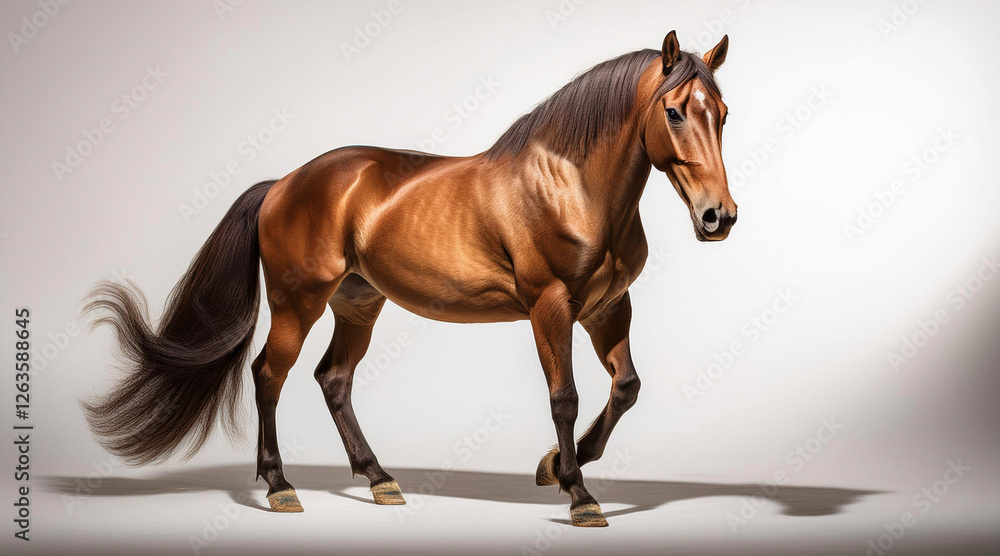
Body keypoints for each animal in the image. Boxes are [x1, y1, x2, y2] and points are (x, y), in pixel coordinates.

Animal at [83, 31, 736, 527]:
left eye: (723, 114)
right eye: (674, 112)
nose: (718, 217)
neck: (571, 188)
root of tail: (283, 184)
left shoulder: (607, 307)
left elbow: (626, 387)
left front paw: (552, 466)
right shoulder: (551, 308)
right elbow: (565, 398)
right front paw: (578, 493)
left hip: (358, 304)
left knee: (333, 379)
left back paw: (379, 478)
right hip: (299, 302)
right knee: (270, 374)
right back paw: (279, 486)